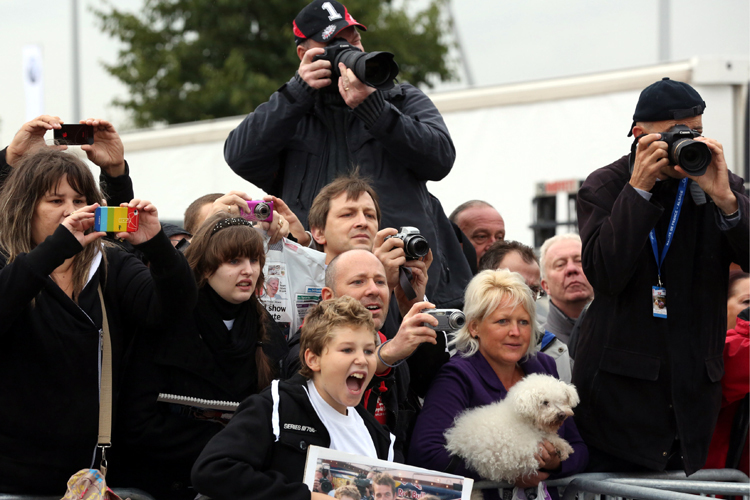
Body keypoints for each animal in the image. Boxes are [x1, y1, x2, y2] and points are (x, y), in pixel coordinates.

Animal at [446, 374, 580, 482]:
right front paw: (562, 447)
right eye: (544, 402)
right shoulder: (525, 448)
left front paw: (564, 447)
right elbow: (548, 438)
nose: (561, 414)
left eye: (562, 400)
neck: (524, 420)